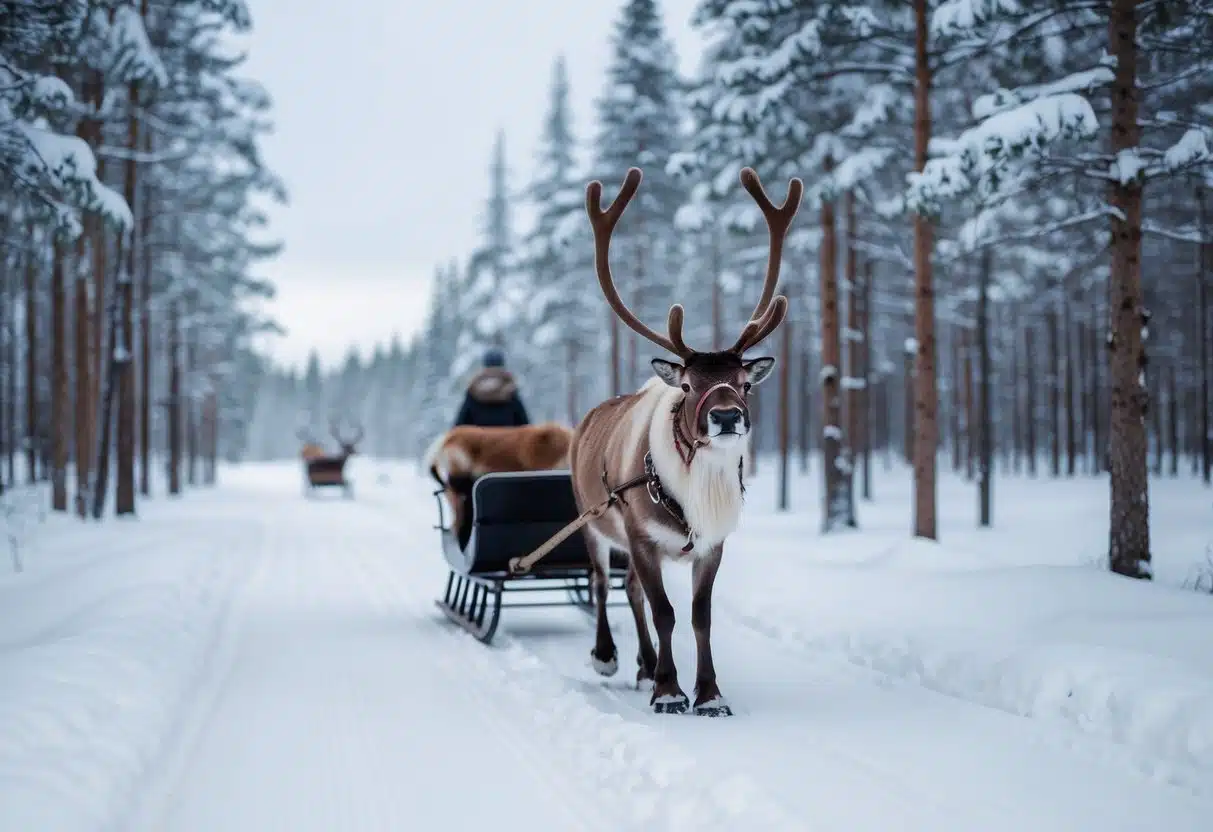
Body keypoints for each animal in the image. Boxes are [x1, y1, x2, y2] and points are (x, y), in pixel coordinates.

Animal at [569, 165, 802, 717]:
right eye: (691, 385)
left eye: (743, 382)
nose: (726, 416)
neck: (697, 490)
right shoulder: (640, 534)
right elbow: (665, 612)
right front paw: (671, 691)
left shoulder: (712, 544)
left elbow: (699, 616)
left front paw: (710, 693)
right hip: (592, 519)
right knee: (604, 583)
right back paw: (609, 656)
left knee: (629, 588)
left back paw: (643, 665)